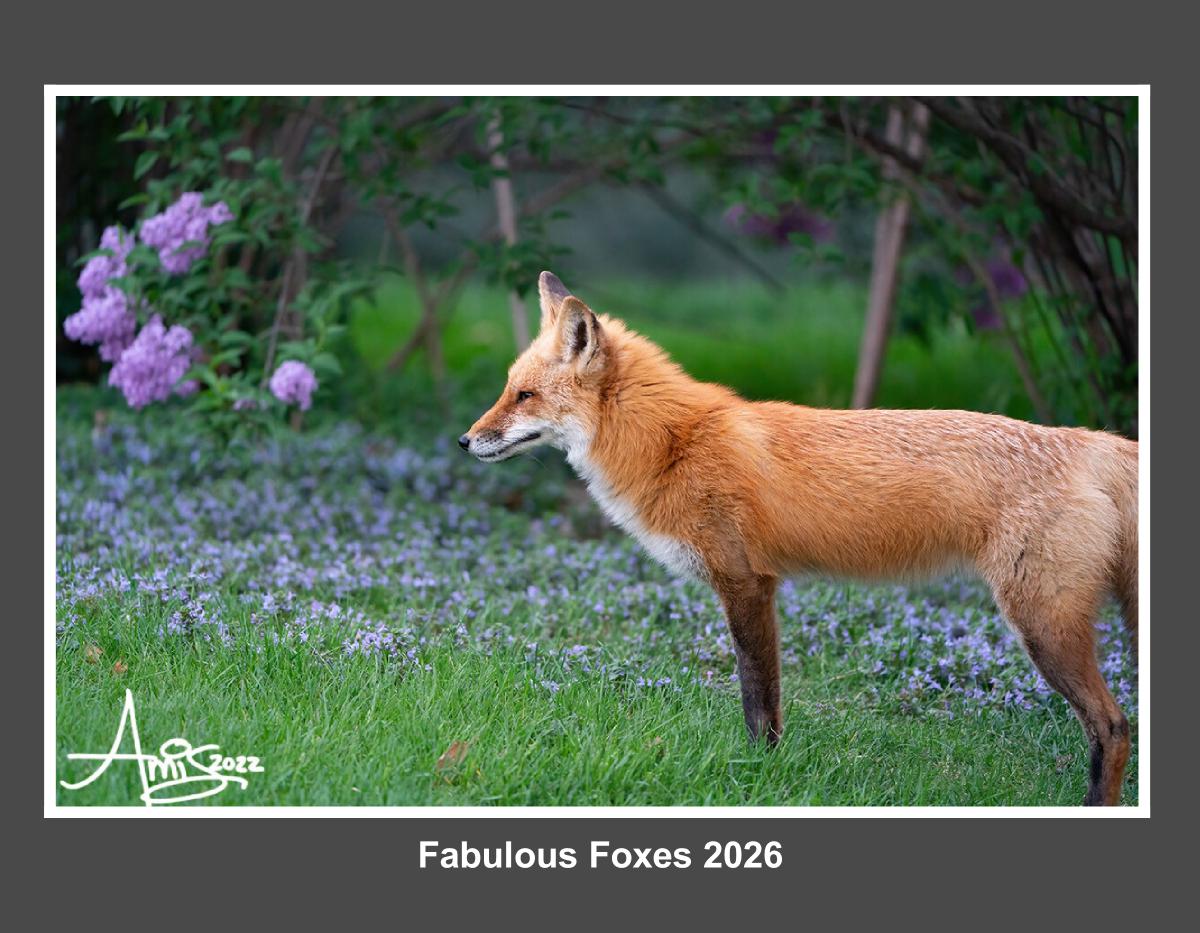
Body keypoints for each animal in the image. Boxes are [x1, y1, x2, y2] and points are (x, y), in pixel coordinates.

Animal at [460, 271, 1139, 806]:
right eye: (507, 390)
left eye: (524, 396)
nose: (465, 442)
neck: (676, 443)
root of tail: (1090, 440)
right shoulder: (758, 585)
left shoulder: (746, 582)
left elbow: (759, 701)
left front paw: (758, 776)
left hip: (1043, 625)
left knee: (1113, 726)